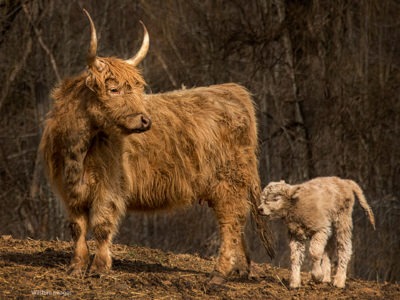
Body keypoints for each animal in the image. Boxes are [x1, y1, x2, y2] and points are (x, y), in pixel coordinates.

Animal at [39, 8, 274, 282]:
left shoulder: (109, 187)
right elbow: (77, 228)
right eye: (114, 89)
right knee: (239, 223)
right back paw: (240, 269)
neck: (78, 150)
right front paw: (76, 267)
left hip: (228, 183)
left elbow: (101, 226)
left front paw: (99, 268)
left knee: (231, 223)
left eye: (137, 88)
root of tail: (232, 91)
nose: (145, 120)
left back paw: (219, 273)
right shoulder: (69, 191)